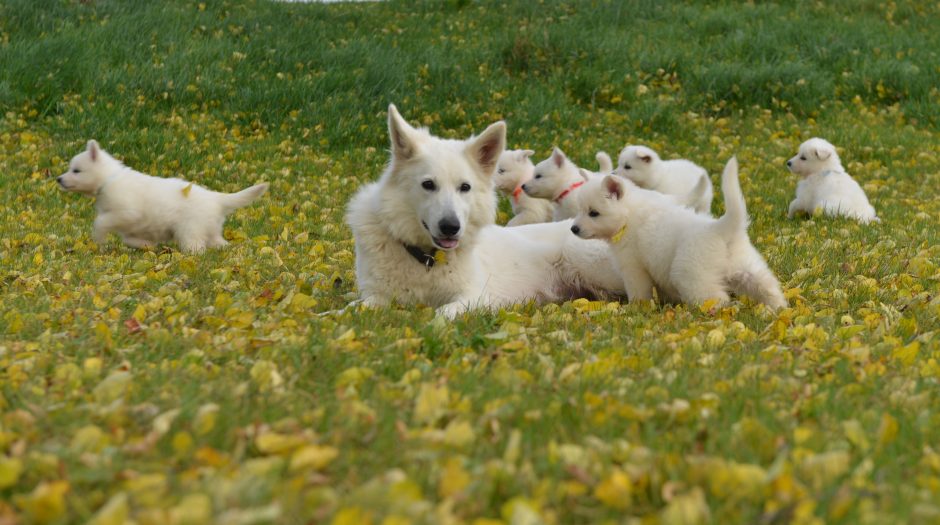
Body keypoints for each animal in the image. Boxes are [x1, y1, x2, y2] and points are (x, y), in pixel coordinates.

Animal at [57, 139, 268, 254]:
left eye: (76, 171)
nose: (59, 179)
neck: (109, 179)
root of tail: (216, 198)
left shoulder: (127, 213)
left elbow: (100, 222)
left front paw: (99, 240)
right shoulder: (131, 225)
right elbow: (129, 238)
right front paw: (147, 245)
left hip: (190, 230)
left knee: (196, 248)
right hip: (210, 231)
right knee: (219, 244)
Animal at [572, 158, 784, 310]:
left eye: (593, 213)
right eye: (579, 210)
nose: (573, 229)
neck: (628, 214)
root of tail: (720, 228)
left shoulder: (633, 267)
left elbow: (638, 292)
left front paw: (635, 309)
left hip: (691, 274)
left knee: (717, 298)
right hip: (746, 267)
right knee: (768, 286)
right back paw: (777, 309)